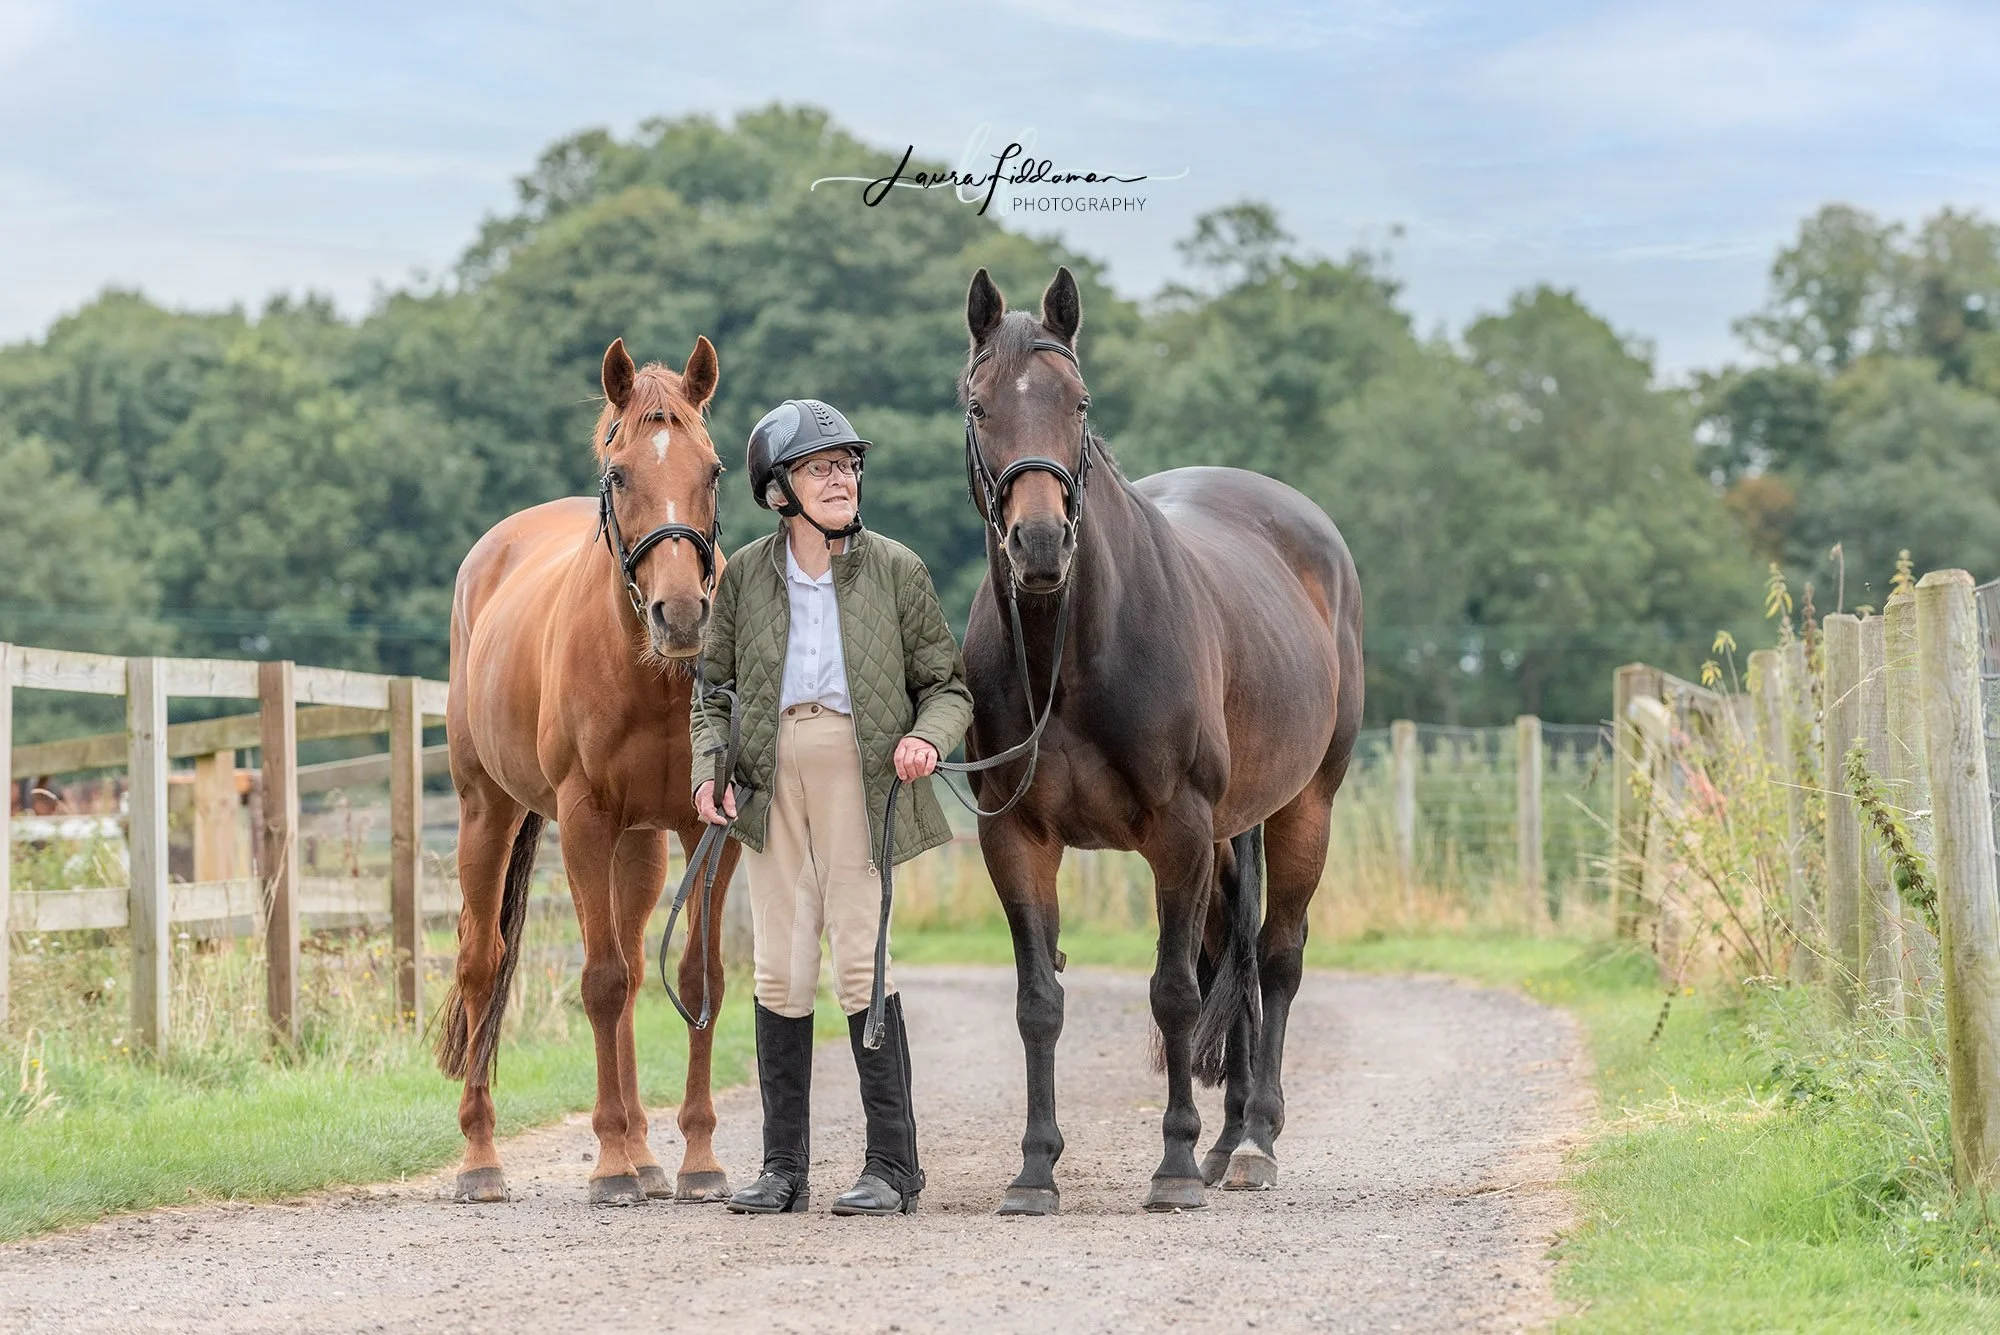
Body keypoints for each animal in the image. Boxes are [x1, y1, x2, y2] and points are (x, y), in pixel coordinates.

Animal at [435, 335, 741, 1206]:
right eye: (621, 474)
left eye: (713, 469)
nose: (682, 614)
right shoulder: (583, 819)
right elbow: (599, 980)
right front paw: (606, 1166)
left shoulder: (709, 827)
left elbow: (695, 979)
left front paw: (697, 1159)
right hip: (488, 812)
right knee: (483, 962)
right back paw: (482, 1160)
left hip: (639, 844)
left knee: (639, 970)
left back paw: (645, 1153)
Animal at [956, 267, 1364, 1214]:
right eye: (980, 404)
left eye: (1078, 402)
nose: (1039, 544)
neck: (1072, 649)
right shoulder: (1016, 837)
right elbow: (1039, 1000)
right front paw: (1035, 1170)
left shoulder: (1175, 831)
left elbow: (1175, 993)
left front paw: (1173, 1164)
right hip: (1225, 839)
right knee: (1234, 960)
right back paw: (1228, 1135)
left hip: (1304, 809)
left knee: (1276, 961)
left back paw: (1250, 1141)